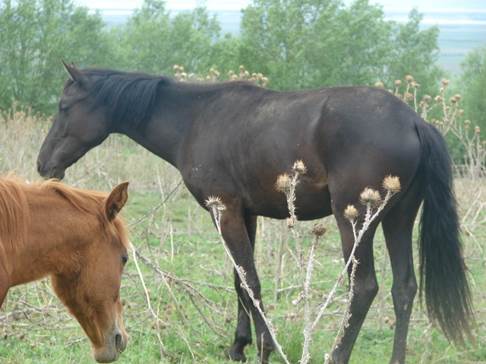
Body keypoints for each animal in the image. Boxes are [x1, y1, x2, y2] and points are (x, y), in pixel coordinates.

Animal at [37, 64, 470, 364]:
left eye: (64, 106)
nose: (44, 165)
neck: (195, 119)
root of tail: (413, 120)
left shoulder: (224, 211)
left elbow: (251, 281)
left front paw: (263, 346)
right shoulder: (244, 214)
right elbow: (240, 282)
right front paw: (240, 346)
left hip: (356, 223)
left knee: (364, 287)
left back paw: (337, 354)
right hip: (398, 220)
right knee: (404, 288)